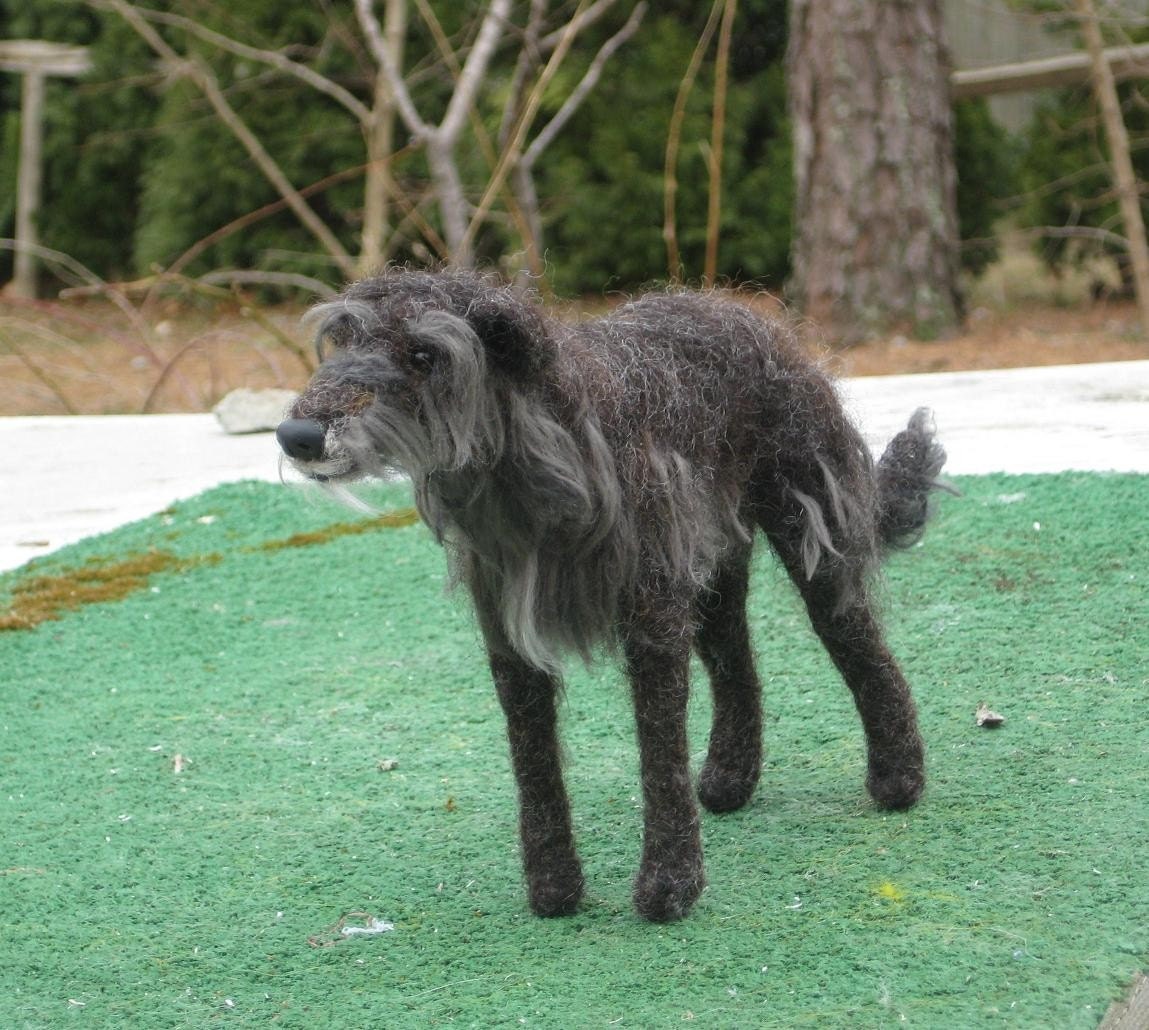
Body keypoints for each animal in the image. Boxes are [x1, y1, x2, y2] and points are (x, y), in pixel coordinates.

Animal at [275, 267, 942, 924]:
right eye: (341, 341)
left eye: (422, 354)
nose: (296, 435)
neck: (542, 456)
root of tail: (739, 309)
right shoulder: (512, 645)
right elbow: (534, 758)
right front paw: (554, 887)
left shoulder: (653, 622)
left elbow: (659, 748)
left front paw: (669, 883)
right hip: (711, 564)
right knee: (735, 661)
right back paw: (731, 776)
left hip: (809, 533)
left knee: (858, 644)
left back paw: (898, 775)